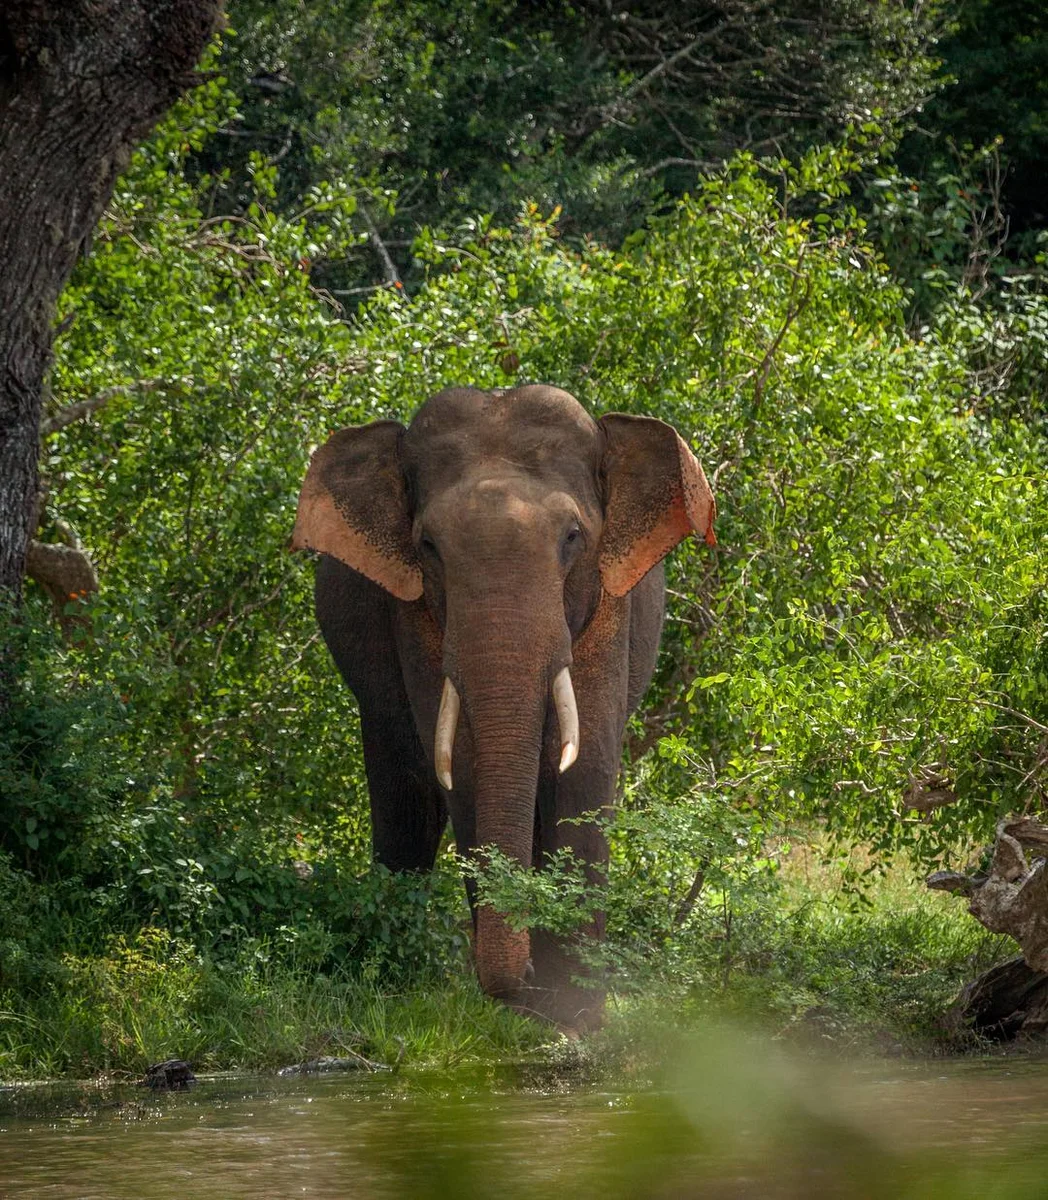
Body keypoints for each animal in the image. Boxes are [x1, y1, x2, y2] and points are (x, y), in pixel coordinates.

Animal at [293, 384, 715, 1028]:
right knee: (402, 794)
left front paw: (573, 1013)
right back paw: (389, 973)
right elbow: (462, 766)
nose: (520, 984)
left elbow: (585, 764)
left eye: (573, 537)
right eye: (427, 546)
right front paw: (531, 1005)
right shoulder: (416, 615)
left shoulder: (608, 604)